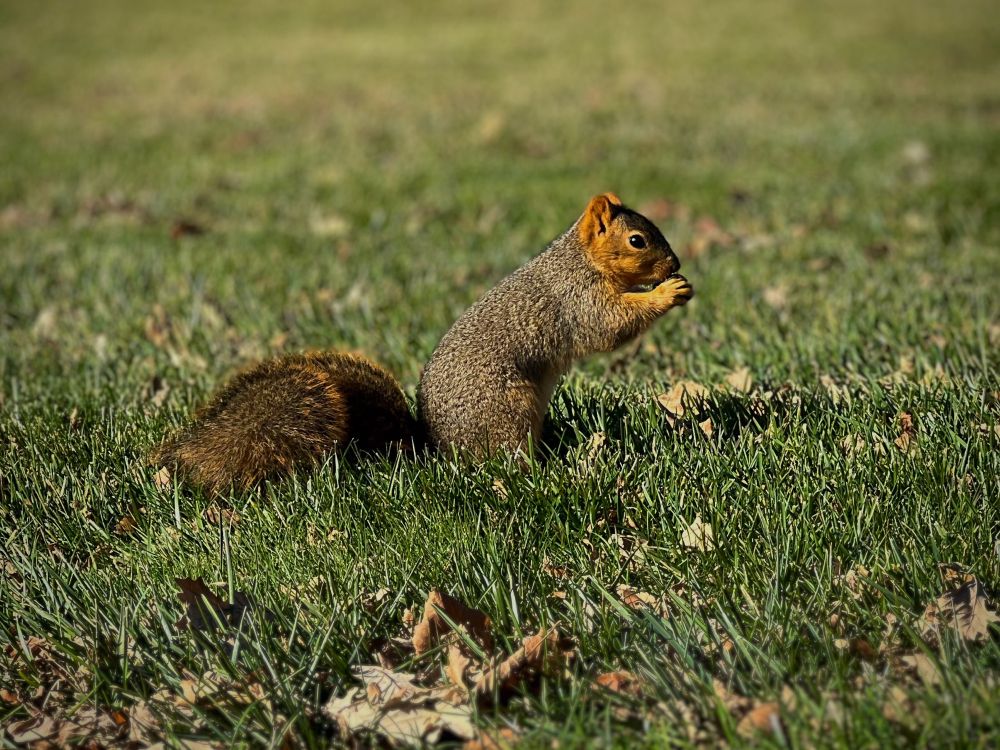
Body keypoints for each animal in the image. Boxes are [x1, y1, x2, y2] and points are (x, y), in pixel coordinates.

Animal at [152, 193, 691, 490]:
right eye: (638, 240)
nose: (676, 263)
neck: (580, 260)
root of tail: (435, 448)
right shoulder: (578, 299)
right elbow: (609, 327)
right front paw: (667, 293)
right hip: (507, 407)